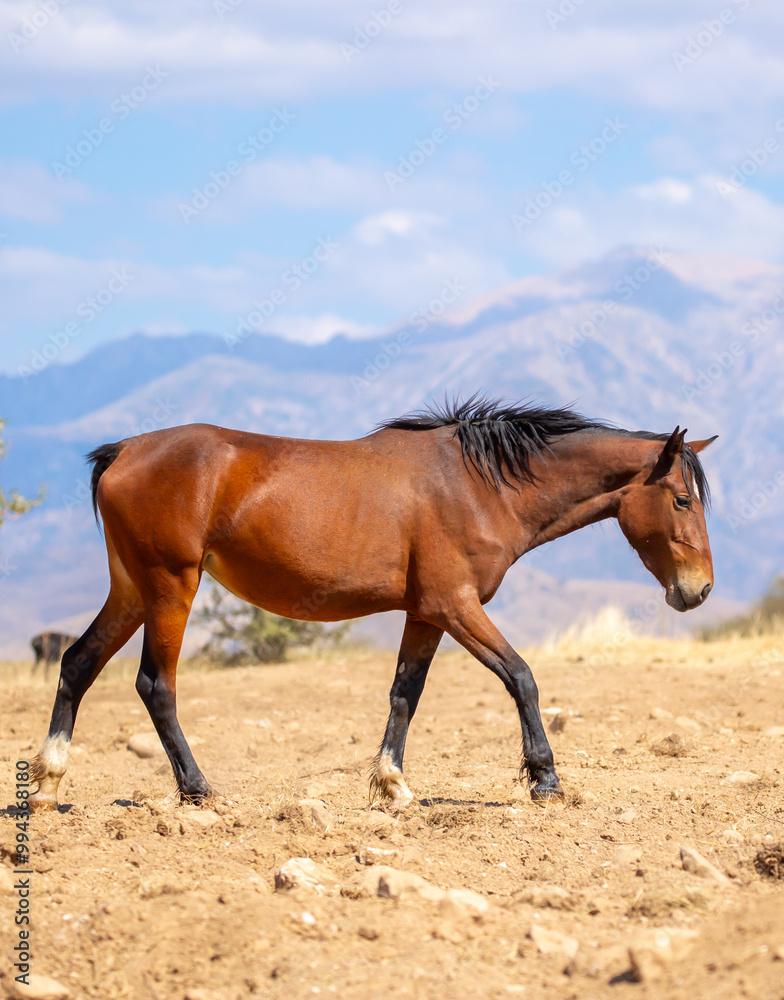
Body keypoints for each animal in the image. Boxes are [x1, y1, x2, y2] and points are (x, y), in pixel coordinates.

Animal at [29, 398, 716, 811]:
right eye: (682, 499)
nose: (700, 589)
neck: (477, 485)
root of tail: (125, 451)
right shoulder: (456, 605)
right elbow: (521, 676)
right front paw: (544, 779)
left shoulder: (426, 613)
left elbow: (404, 693)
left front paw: (392, 784)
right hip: (171, 586)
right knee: (155, 684)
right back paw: (197, 790)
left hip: (132, 590)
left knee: (77, 663)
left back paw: (47, 783)